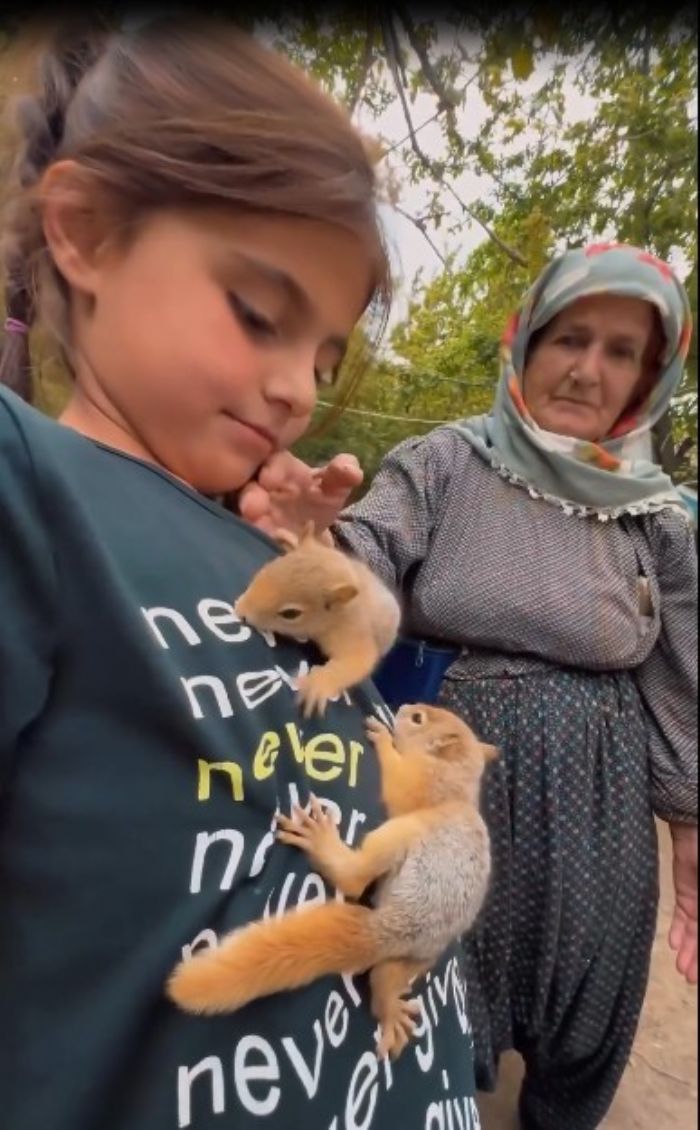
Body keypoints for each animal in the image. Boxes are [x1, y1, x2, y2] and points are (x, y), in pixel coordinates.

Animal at [167, 700, 495, 1062]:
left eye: (417, 719)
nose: (407, 705)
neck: (459, 783)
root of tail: (395, 926)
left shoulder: (423, 784)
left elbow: (399, 786)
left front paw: (383, 739)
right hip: (417, 958)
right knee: (385, 977)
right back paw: (391, 1011)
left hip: (403, 833)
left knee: (354, 879)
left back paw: (321, 841)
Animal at [234, 519, 400, 714]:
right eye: (265, 570)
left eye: (291, 614)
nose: (241, 611)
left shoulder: (353, 631)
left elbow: (357, 660)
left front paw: (317, 685)